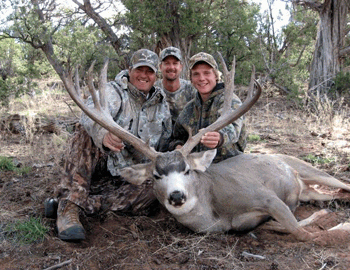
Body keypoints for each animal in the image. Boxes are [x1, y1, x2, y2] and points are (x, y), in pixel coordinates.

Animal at [60, 56, 350, 242]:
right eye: (156, 175)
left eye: (187, 170)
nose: (177, 196)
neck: (215, 213)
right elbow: (279, 227)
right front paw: (323, 217)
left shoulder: (266, 196)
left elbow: (307, 235)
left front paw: (341, 226)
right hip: (309, 189)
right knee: (331, 194)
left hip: (310, 169)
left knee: (342, 184)